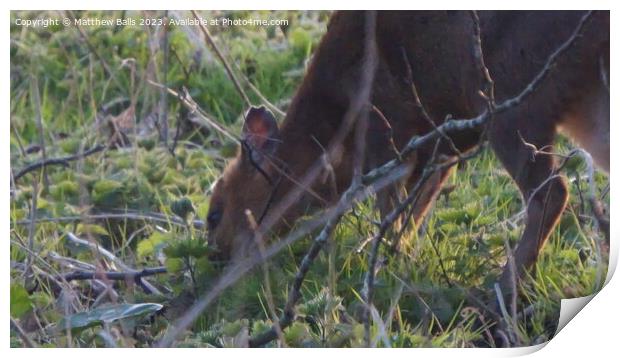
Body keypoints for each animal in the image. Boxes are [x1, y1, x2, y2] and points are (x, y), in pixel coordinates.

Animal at [205, 10, 612, 314]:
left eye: (214, 213)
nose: (216, 261)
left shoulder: (385, 130)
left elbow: (391, 208)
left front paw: (384, 266)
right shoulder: (440, 145)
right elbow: (414, 211)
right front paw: (400, 259)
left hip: (513, 94)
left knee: (552, 192)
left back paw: (499, 293)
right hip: (586, 102)